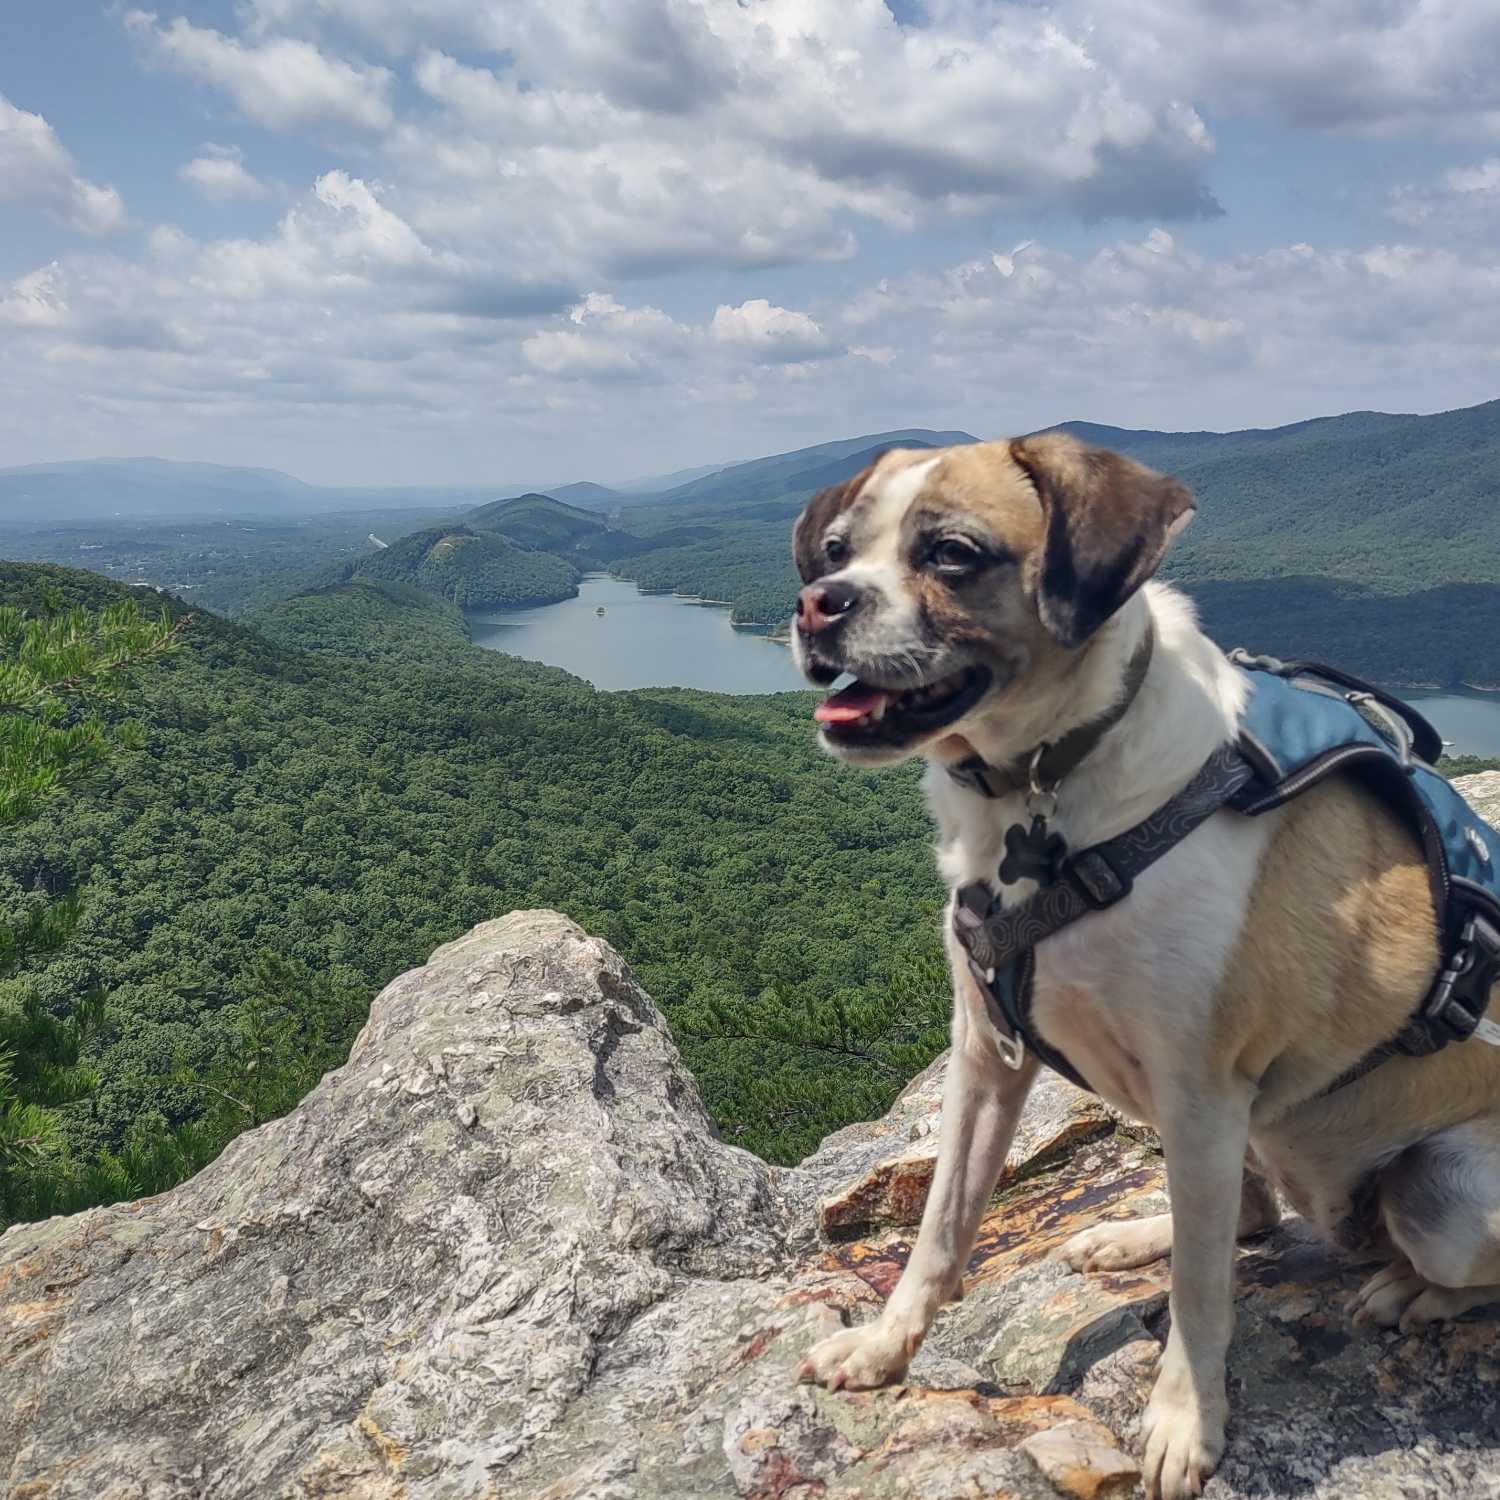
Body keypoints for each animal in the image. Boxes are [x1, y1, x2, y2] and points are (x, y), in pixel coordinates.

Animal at [786, 435, 1500, 1500]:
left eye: (953, 553)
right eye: (835, 548)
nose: (819, 602)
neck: (1046, 788)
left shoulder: (1200, 1087)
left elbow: (1202, 1296)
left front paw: (1185, 1421)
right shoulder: (986, 1056)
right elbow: (942, 1230)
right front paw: (885, 1346)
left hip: (1446, 1193)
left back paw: (1410, 1292)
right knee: (1243, 1211)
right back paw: (1136, 1235)